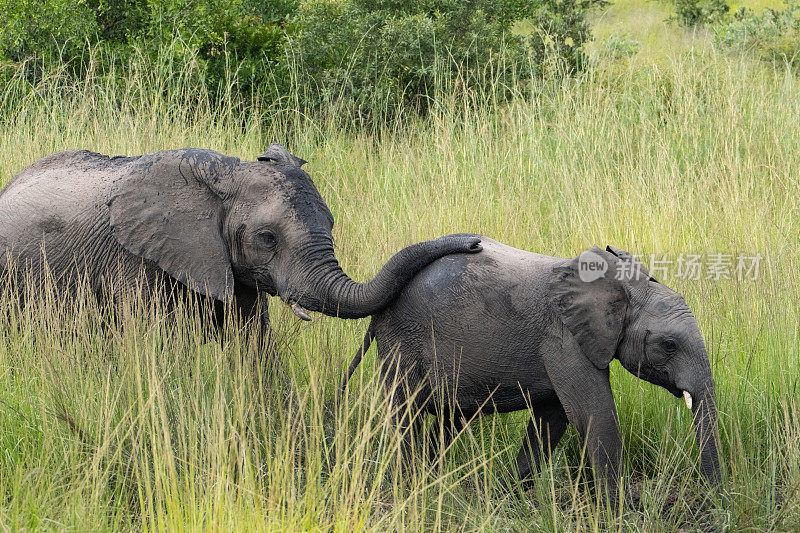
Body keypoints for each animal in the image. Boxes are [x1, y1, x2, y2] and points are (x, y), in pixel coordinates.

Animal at [0, 143, 478, 348]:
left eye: (331, 225)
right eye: (266, 239)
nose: (474, 243)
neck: (223, 173)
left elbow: (253, 345)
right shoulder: (133, 262)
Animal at [340, 238, 720, 508]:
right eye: (669, 345)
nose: (715, 502)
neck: (619, 288)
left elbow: (551, 420)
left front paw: (499, 498)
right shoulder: (563, 338)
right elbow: (593, 414)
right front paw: (620, 515)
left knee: (447, 420)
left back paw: (434, 487)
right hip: (402, 340)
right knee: (408, 412)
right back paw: (411, 493)